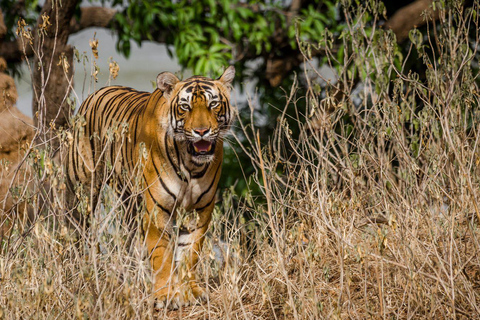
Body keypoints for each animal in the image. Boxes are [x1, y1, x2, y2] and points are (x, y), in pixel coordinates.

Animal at [64, 66, 235, 308]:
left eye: (213, 104)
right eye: (185, 107)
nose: (202, 131)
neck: (191, 164)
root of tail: (96, 93)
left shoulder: (200, 211)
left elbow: (190, 253)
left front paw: (190, 292)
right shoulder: (157, 210)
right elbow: (162, 254)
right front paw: (165, 295)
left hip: (130, 201)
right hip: (84, 189)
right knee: (76, 229)